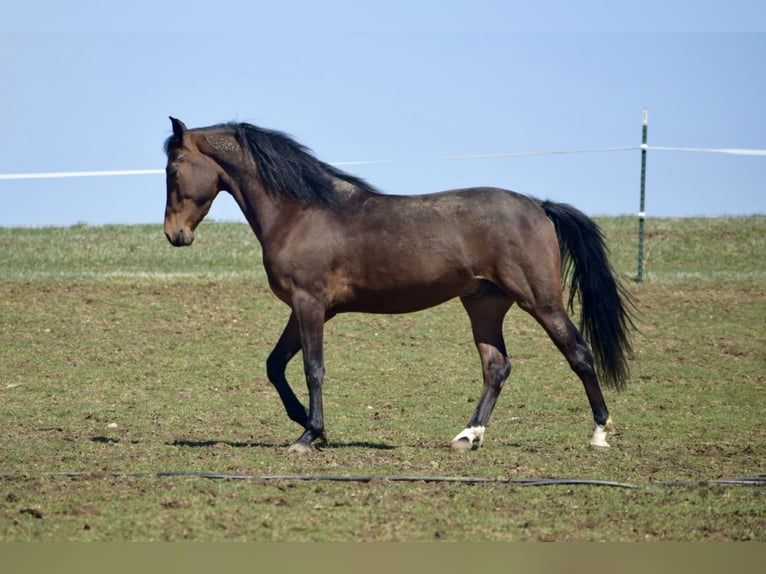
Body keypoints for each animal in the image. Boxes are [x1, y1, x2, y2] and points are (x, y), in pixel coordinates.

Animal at [163, 117, 635, 454]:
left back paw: (599, 433)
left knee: (578, 353)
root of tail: (538, 205)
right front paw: (311, 427)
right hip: (484, 306)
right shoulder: (306, 308)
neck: (300, 212)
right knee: (496, 367)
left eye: (173, 168)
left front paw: (308, 436)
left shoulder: (309, 303)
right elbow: (275, 365)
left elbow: (312, 368)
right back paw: (467, 436)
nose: (174, 235)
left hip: (540, 300)